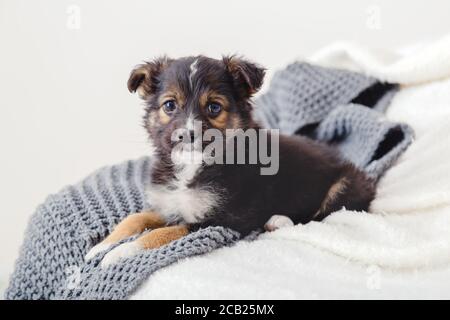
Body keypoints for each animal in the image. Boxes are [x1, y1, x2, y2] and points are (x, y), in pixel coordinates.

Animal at [85, 56, 376, 266]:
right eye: (169, 105)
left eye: (214, 107)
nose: (186, 134)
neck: (193, 165)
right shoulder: (169, 204)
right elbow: (135, 217)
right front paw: (101, 246)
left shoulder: (221, 219)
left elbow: (162, 233)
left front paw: (120, 253)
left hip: (344, 185)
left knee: (319, 217)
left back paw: (278, 220)